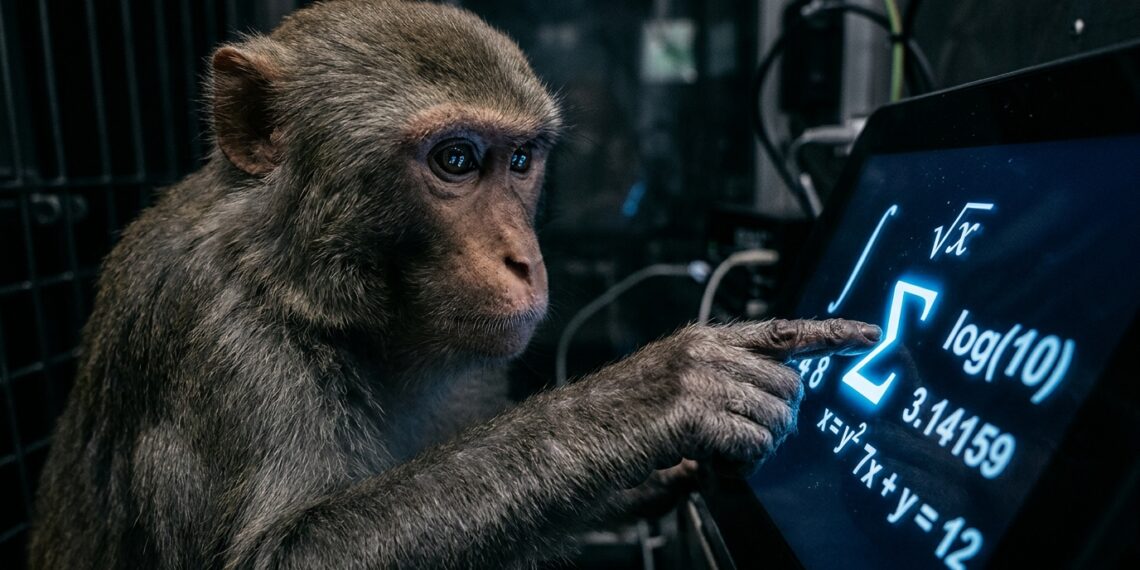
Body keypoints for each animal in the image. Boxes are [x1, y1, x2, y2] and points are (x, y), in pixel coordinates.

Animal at [28, 1, 880, 568]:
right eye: (457, 160)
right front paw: (656, 392)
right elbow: (279, 556)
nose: (524, 260)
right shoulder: (219, 334)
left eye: (522, 160)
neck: (303, 283)